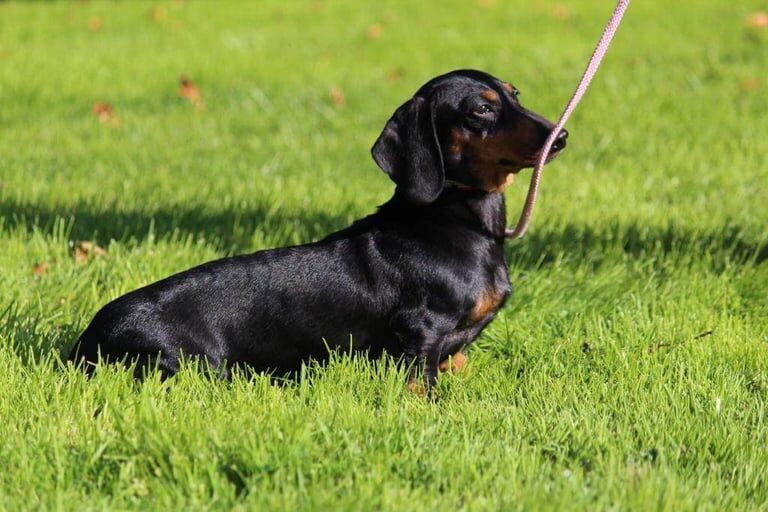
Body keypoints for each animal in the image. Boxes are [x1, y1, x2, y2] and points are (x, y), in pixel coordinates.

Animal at [69, 68, 568, 388]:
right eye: (481, 110)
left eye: (515, 94)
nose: (560, 136)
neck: (453, 220)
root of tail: (87, 340)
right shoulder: (421, 330)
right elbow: (418, 384)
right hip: (194, 365)